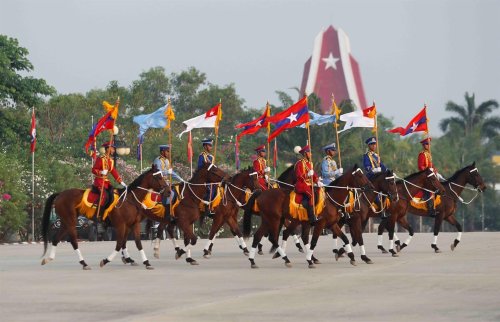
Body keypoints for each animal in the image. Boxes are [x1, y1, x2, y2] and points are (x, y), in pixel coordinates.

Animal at [41, 166, 170, 270]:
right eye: (159, 177)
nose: (168, 191)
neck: (130, 199)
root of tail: (60, 194)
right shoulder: (121, 225)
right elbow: (119, 244)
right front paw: (106, 260)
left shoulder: (133, 224)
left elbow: (137, 243)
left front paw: (146, 262)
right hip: (71, 221)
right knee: (73, 241)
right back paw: (84, 263)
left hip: (65, 222)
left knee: (56, 239)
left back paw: (48, 259)